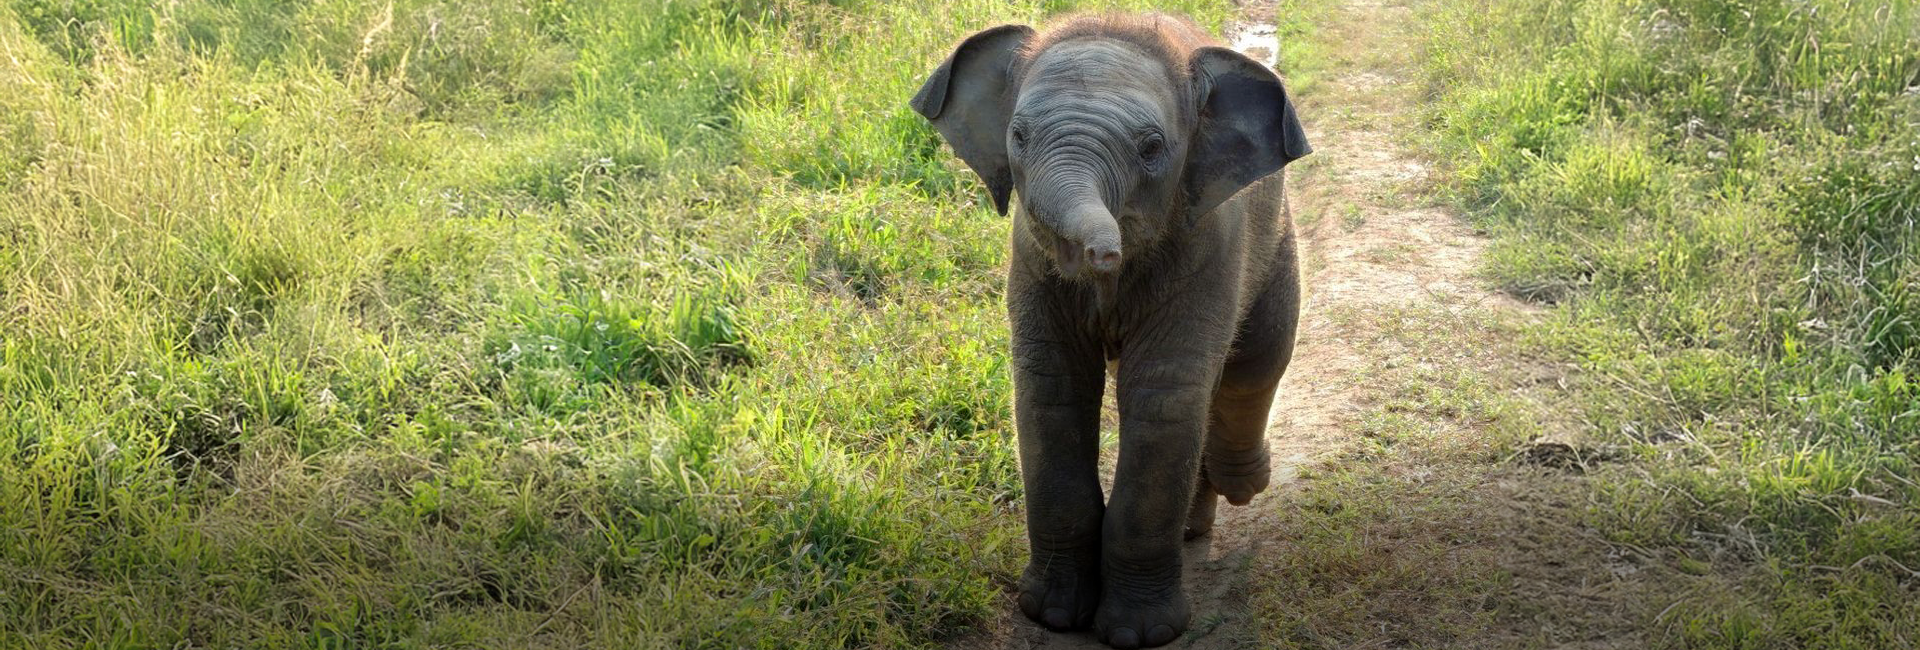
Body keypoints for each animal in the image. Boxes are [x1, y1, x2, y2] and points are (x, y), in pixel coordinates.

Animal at [910, 13, 1311, 649]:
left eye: (1152, 149)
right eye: (1017, 136)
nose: (1102, 255)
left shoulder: (1208, 246)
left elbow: (1162, 397)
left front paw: (1136, 633)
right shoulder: (1030, 259)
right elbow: (1053, 388)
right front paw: (1052, 614)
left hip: (1277, 244)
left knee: (1256, 364)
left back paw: (1239, 486)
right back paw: (1194, 528)